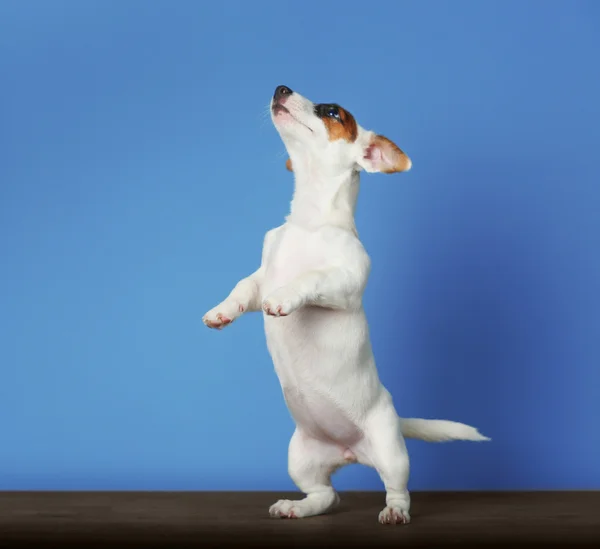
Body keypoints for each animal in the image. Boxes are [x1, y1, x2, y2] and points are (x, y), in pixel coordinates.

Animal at [204, 84, 490, 524]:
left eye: (333, 112)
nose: (281, 88)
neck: (308, 220)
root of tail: (351, 453)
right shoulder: (259, 278)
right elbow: (241, 288)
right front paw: (221, 312)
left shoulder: (345, 282)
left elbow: (310, 279)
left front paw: (284, 298)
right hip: (300, 458)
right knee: (326, 496)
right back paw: (296, 507)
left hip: (391, 451)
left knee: (397, 489)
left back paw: (394, 513)